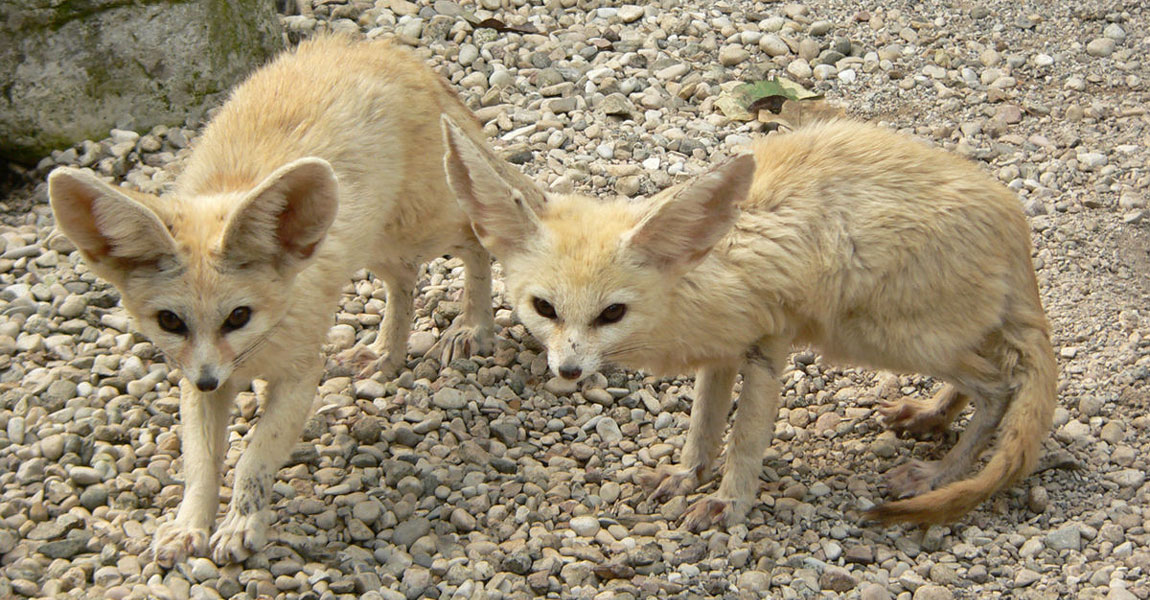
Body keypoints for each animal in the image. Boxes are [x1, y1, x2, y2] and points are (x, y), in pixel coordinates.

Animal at [47, 36, 496, 560]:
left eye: (239, 316)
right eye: (170, 322)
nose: (208, 380)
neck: (255, 353)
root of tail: (376, 47)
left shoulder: (299, 376)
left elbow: (253, 460)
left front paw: (241, 525)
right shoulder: (195, 382)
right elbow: (201, 465)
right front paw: (189, 525)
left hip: (418, 229)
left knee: (476, 237)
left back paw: (474, 325)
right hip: (373, 244)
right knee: (403, 282)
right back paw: (386, 353)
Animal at [443, 114, 1053, 526]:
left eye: (612, 313)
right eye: (544, 309)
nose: (569, 372)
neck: (698, 275)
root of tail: (1015, 229)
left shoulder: (767, 343)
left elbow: (746, 438)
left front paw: (727, 504)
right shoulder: (719, 353)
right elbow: (704, 425)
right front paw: (686, 476)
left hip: (885, 337)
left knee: (1001, 388)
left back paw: (938, 473)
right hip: (920, 338)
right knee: (984, 376)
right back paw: (929, 416)